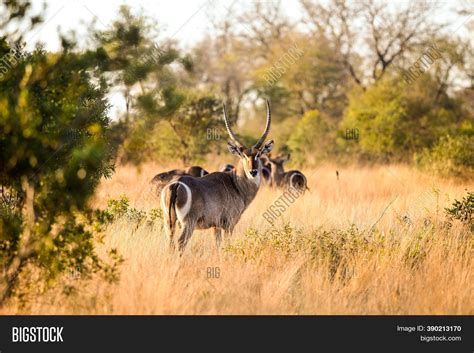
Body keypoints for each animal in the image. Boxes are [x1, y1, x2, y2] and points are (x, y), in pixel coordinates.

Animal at [160, 100, 274, 252]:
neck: (236, 183)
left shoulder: (216, 226)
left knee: (170, 244)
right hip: (188, 223)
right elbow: (226, 246)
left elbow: (218, 245)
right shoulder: (229, 224)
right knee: (180, 243)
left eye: (258, 154)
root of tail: (177, 183)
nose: (253, 171)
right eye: (243, 155)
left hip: (169, 222)